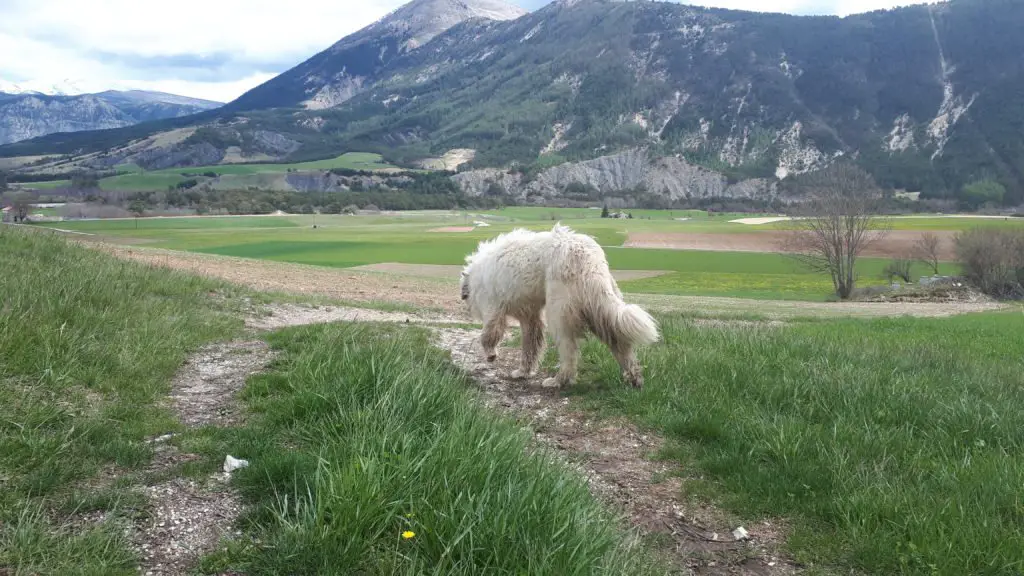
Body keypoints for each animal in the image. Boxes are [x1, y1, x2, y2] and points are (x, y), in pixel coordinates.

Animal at [460, 222, 659, 387]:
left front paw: (491, 354)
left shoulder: (492, 309)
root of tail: (589, 256)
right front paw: (524, 371)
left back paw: (559, 380)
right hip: (600, 305)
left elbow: (488, 335)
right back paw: (633, 377)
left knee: (569, 352)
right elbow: (530, 345)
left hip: (560, 313)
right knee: (619, 341)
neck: (474, 275)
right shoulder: (530, 317)